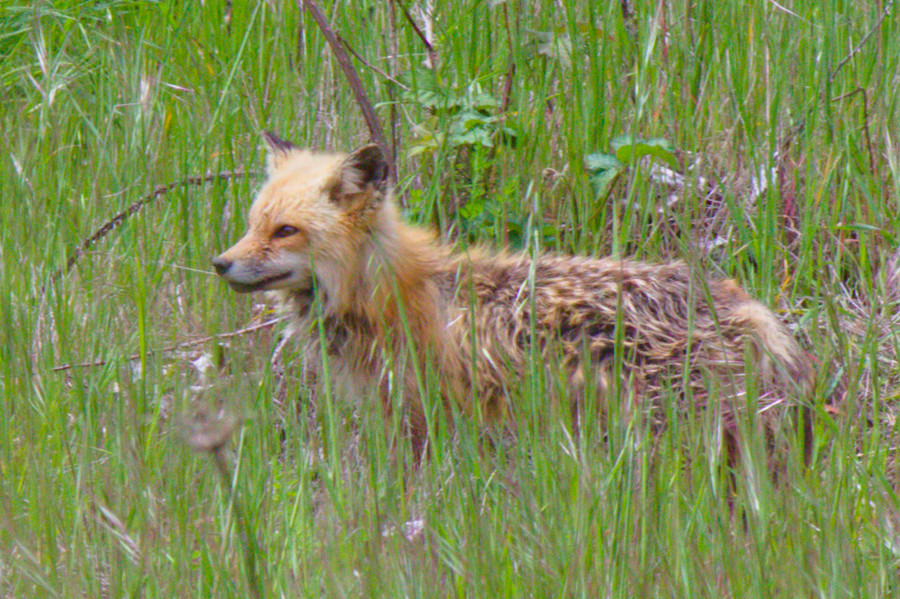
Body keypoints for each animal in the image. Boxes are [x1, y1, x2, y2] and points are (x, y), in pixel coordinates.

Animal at [213, 132, 814, 462]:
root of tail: (736, 299)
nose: (220, 263)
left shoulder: (424, 416)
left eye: (285, 231)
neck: (389, 293)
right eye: (253, 224)